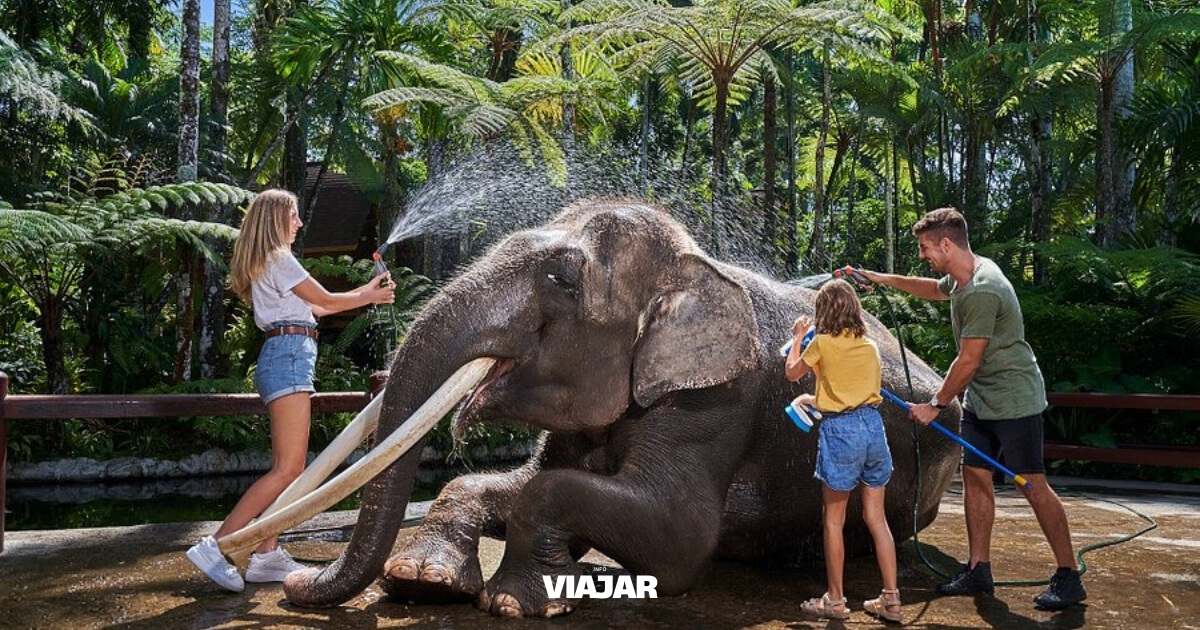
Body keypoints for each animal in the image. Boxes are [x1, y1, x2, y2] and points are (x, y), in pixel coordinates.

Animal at [282, 198, 961, 616]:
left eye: (561, 279)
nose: (293, 579)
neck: (692, 263)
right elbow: (513, 480)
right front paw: (421, 580)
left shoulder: (716, 400)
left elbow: (679, 537)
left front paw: (511, 603)